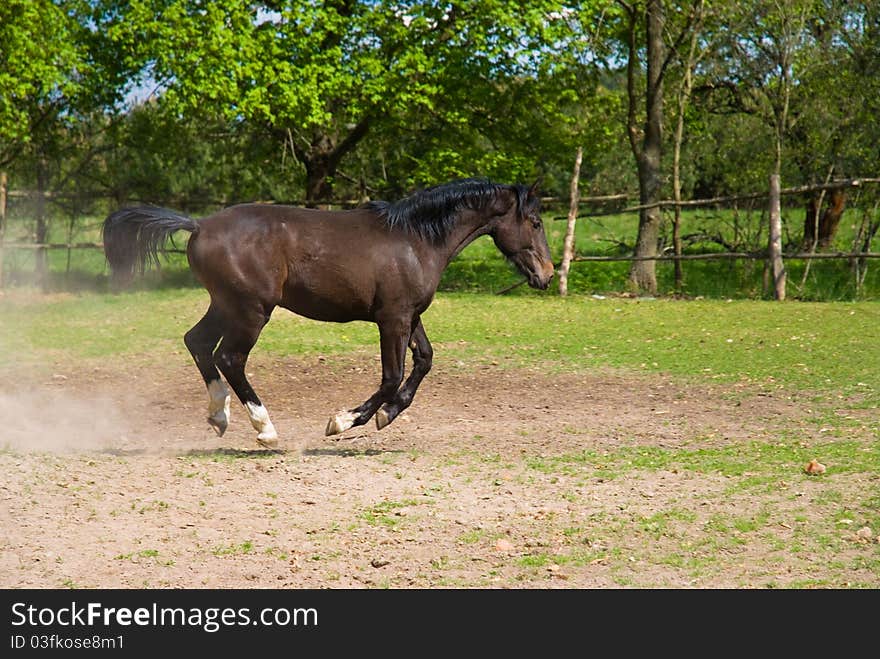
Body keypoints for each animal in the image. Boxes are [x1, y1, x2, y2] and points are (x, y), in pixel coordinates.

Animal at [103, 179, 552, 448]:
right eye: (535, 221)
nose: (547, 274)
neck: (417, 241)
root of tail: (198, 225)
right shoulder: (392, 320)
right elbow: (391, 377)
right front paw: (344, 421)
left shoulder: (410, 316)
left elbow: (423, 361)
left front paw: (386, 415)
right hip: (251, 310)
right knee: (228, 357)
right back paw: (265, 429)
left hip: (225, 304)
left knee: (197, 342)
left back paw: (219, 416)